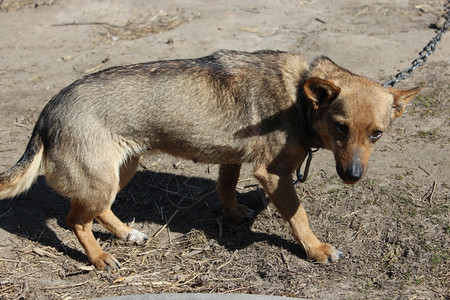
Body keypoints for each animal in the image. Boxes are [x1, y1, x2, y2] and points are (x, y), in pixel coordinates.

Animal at [0, 49, 422, 270]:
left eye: (376, 134)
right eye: (340, 127)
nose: (353, 175)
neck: (300, 98)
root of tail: (48, 112)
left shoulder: (232, 158)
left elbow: (226, 188)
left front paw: (234, 214)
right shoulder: (273, 175)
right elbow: (299, 216)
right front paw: (316, 249)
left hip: (120, 172)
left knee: (97, 212)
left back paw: (126, 234)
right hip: (101, 181)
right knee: (74, 219)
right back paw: (101, 256)